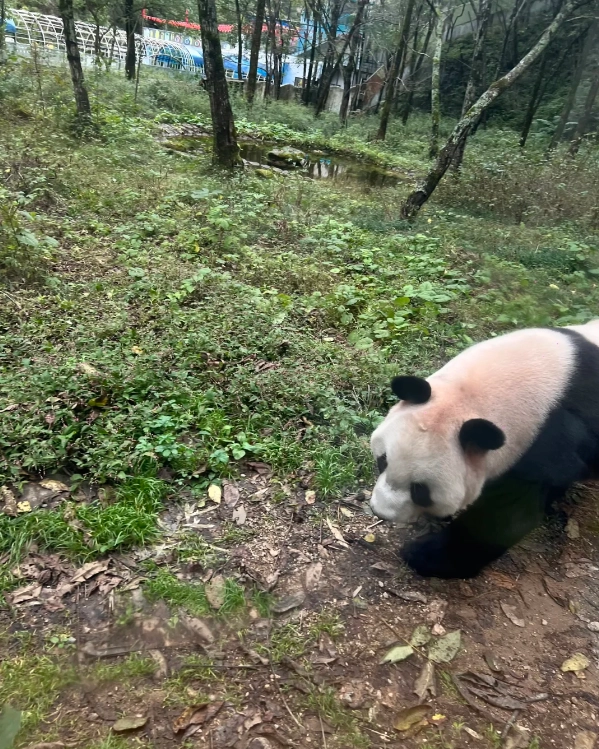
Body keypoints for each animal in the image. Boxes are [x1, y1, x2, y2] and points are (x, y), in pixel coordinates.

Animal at [370, 320, 599, 579]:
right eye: (383, 461)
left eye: (420, 490)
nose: (380, 512)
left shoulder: (550, 439)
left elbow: (506, 515)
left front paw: (424, 555)